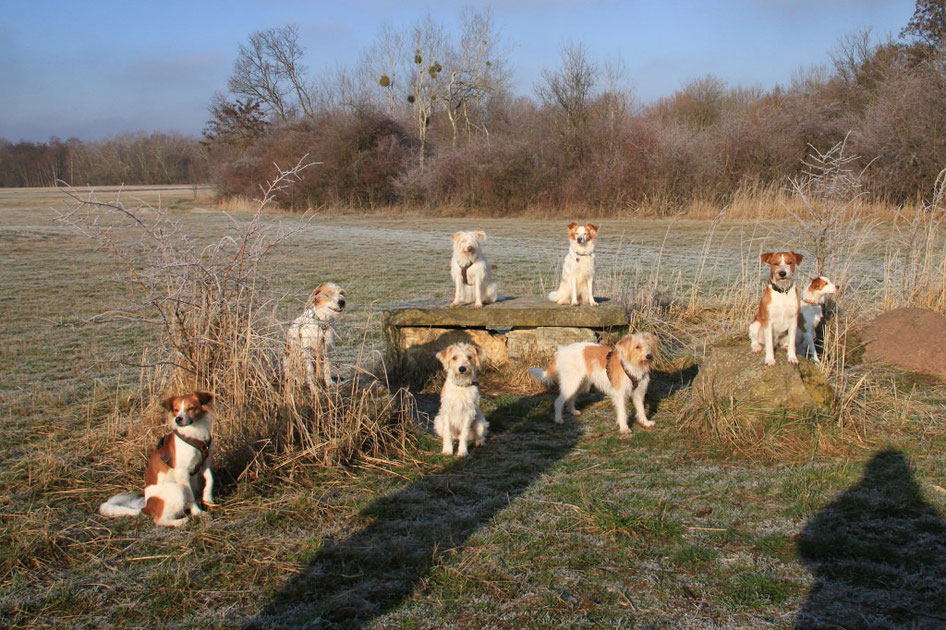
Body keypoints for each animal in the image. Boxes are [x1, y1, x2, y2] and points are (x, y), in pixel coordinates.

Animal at [100, 392, 218, 532]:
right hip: (176, 488)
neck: (194, 434)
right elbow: (190, 497)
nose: (178, 419)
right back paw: (180, 521)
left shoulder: (205, 462)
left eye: (191, 408)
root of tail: (146, 507)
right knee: (159, 520)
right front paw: (198, 512)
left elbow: (210, 479)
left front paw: (207, 497)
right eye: (176, 410)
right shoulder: (182, 473)